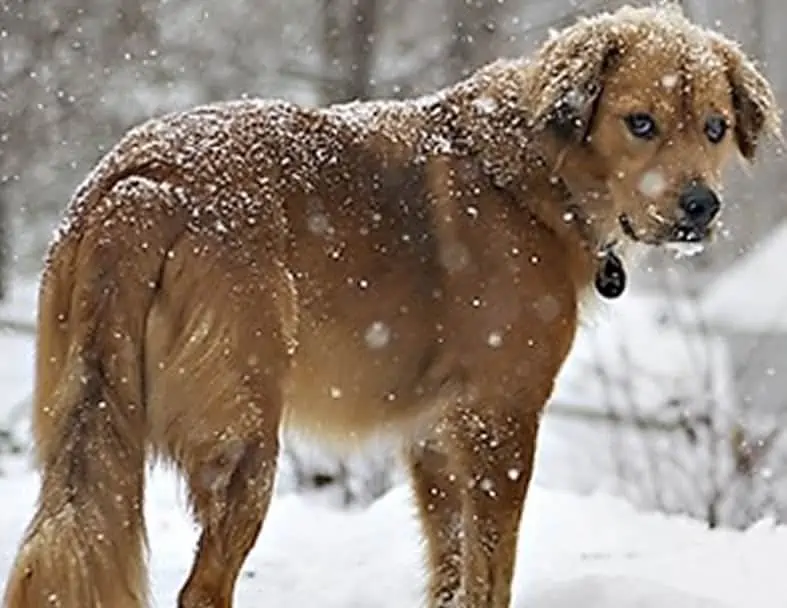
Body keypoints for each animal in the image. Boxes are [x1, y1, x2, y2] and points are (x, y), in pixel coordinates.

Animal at [1, 4, 780, 608]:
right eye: (639, 123)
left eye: (714, 128)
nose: (700, 209)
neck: (539, 174)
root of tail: (144, 182)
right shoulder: (501, 418)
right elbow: (490, 573)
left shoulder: (433, 437)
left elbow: (451, 571)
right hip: (246, 444)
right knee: (201, 589)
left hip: (86, 426)